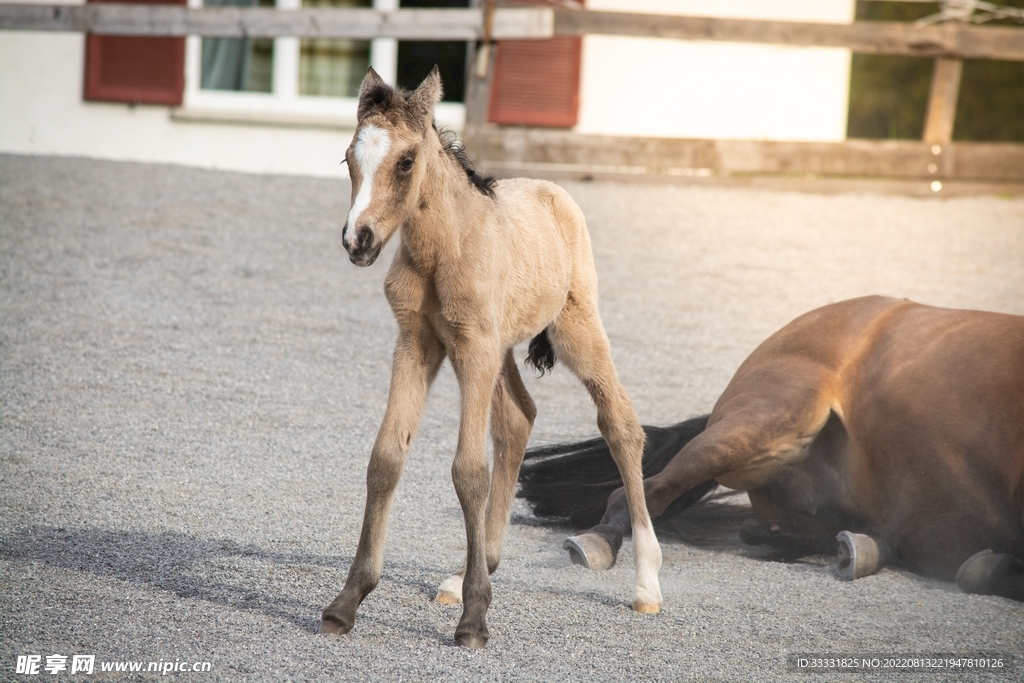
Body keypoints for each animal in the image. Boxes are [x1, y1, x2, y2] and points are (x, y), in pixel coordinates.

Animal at [317, 66, 663, 648]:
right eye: (348, 158)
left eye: (406, 161)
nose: (357, 239)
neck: (442, 249)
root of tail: (551, 190)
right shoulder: (417, 343)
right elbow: (386, 459)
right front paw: (347, 602)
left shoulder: (473, 345)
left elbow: (468, 471)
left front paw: (474, 619)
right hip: (498, 349)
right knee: (519, 418)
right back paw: (464, 574)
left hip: (573, 329)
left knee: (620, 424)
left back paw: (646, 584)